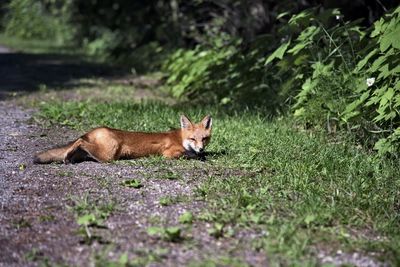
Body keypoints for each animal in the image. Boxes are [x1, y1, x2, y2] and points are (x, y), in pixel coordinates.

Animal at [33, 114, 212, 164]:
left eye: (204, 139)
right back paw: (67, 155)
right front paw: (198, 156)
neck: (180, 139)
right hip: (108, 155)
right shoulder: (169, 154)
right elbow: (189, 155)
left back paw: (69, 157)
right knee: (80, 141)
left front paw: (202, 154)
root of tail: (99, 129)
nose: (201, 148)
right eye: (192, 139)